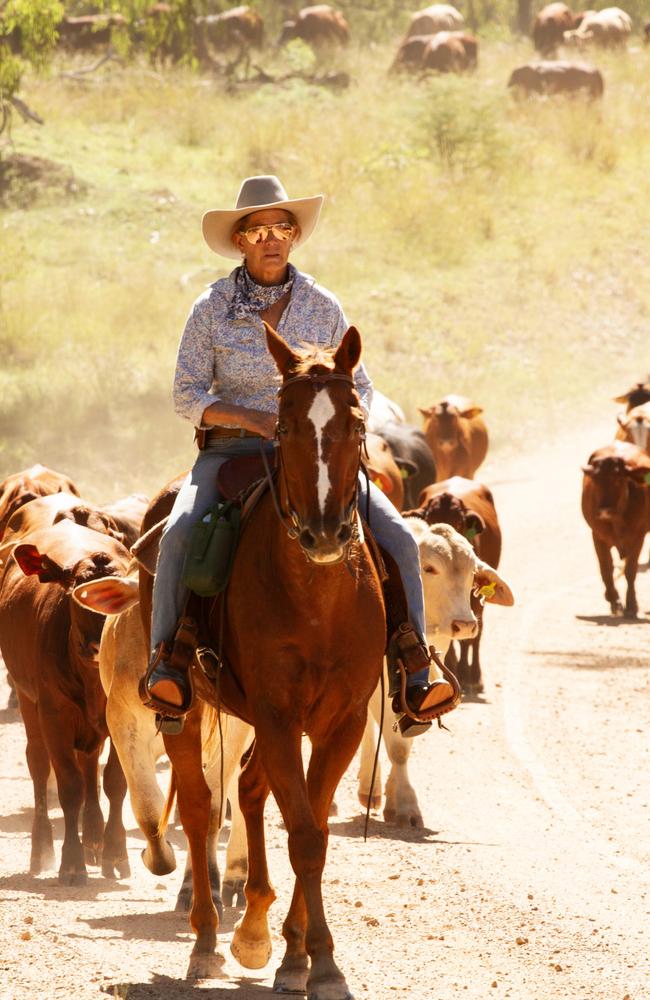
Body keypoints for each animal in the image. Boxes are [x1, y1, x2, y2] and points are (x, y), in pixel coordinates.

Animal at [0, 504, 133, 880]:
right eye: (77, 593)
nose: (98, 646)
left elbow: (114, 781)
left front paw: (115, 852)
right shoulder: (54, 716)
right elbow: (69, 787)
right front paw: (71, 861)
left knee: (89, 765)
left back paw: (94, 838)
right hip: (28, 700)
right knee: (39, 764)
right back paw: (42, 847)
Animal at [156, 324, 384, 996]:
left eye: (356, 421)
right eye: (281, 425)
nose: (324, 533)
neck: (317, 600)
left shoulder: (341, 722)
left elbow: (316, 828)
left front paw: (299, 956)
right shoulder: (280, 716)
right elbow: (303, 832)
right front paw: (322, 962)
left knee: (253, 789)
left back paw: (255, 932)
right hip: (185, 712)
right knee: (202, 808)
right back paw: (207, 940)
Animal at [416, 478, 502, 696]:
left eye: (460, 522)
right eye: (429, 519)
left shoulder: (473, 603)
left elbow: (470, 638)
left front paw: (468, 675)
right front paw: (452, 670)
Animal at [576, 444, 648, 616]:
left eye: (618, 479)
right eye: (595, 480)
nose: (604, 511)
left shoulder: (638, 538)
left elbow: (630, 571)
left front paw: (631, 606)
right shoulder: (598, 537)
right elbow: (606, 569)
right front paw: (614, 601)